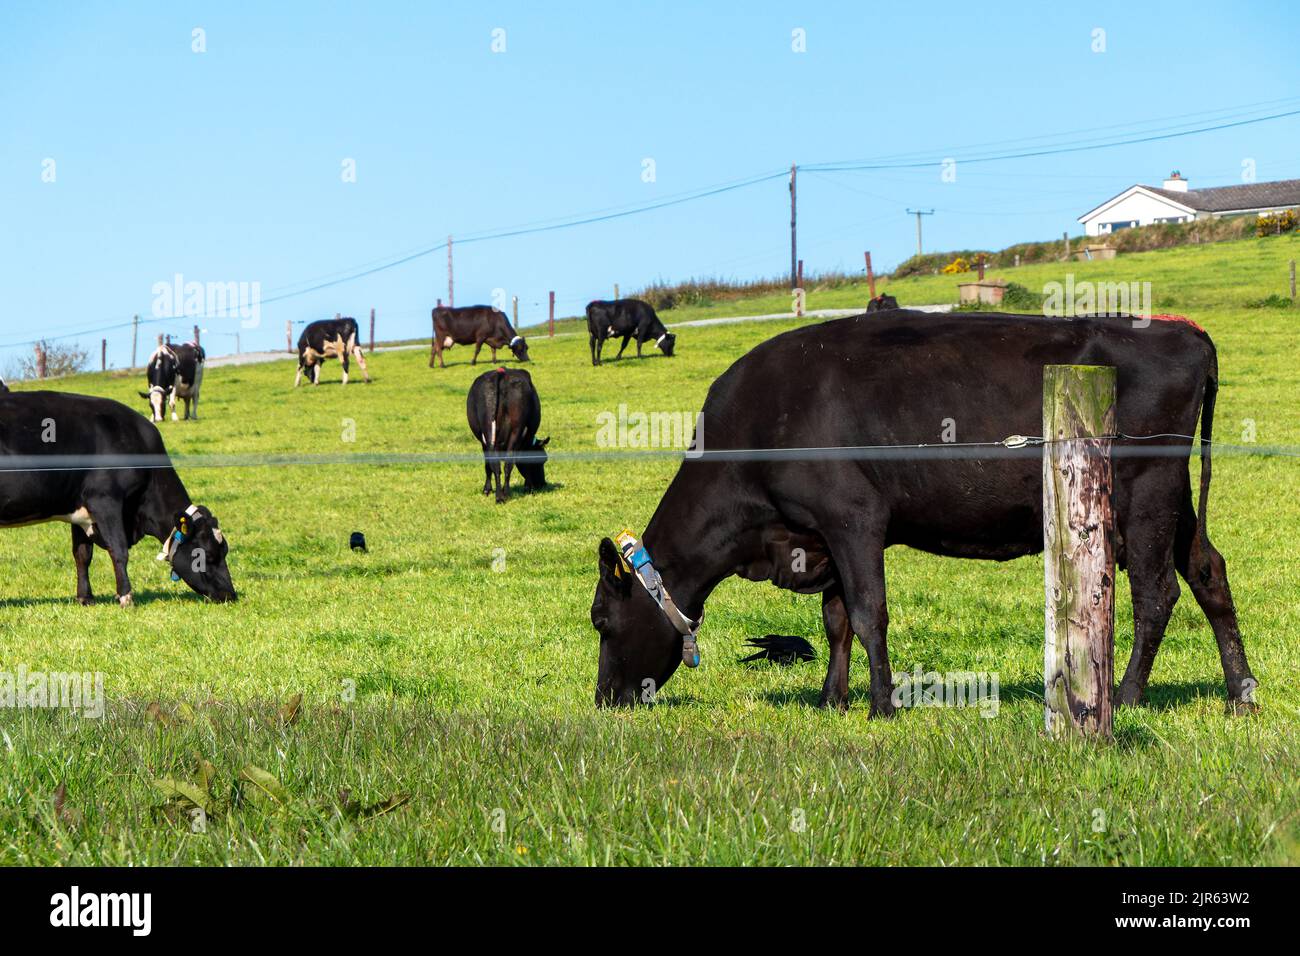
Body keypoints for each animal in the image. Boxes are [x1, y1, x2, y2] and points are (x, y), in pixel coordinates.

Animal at [0, 390, 239, 606]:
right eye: (207, 555)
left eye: (225, 551)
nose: (230, 595)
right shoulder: (105, 501)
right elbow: (119, 550)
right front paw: (126, 597)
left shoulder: (81, 511)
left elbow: (82, 555)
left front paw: (86, 598)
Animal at [467, 366, 548, 504]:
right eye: (542, 460)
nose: (542, 483)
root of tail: (501, 373)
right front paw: (529, 487)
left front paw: (487, 489)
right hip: (516, 429)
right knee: (508, 462)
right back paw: (505, 494)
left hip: (489, 428)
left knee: (495, 464)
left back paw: (500, 496)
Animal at [595, 310, 1253, 712]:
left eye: (601, 620)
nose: (604, 698)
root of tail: (1183, 331)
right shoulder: (822, 534)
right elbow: (835, 619)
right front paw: (832, 699)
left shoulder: (853, 518)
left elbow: (868, 614)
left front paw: (881, 707)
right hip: (1175, 496)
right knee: (1209, 572)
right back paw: (1240, 691)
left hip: (1147, 493)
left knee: (1156, 593)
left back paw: (1126, 696)